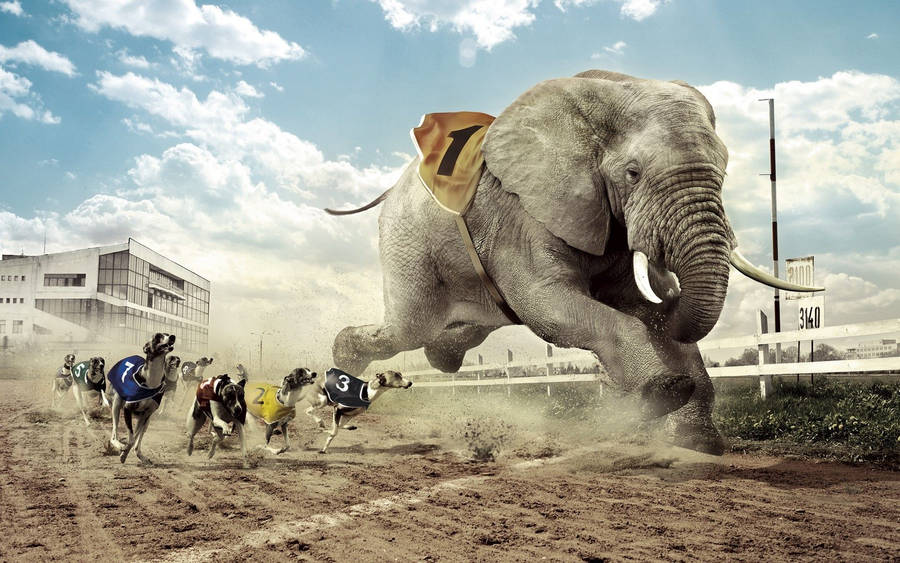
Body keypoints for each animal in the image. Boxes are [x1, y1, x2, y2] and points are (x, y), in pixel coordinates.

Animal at [325, 70, 821, 454]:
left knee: (453, 330)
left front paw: (700, 443)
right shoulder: (521, 213)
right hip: (408, 241)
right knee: (411, 325)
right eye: (632, 173)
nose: (670, 285)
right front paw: (664, 395)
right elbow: (549, 307)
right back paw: (343, 362)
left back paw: (435, 358)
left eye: (724, 170)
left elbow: (643, 310)